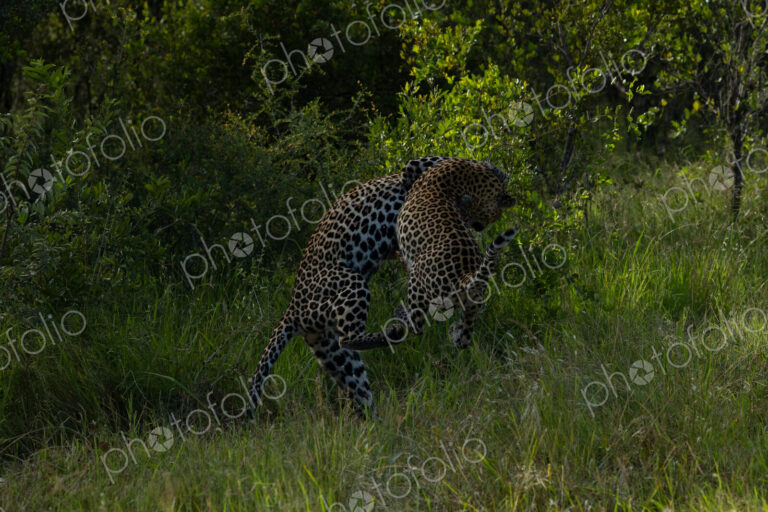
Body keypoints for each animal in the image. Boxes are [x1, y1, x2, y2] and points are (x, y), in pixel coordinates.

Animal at [247, 156, 450, 417]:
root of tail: (292, 309)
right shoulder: (417, 167)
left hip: (335, 355)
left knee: (359, 389)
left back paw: (377, 423)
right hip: (351, 282)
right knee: (350, 337)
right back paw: (395, 331)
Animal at [394, 158, 519, 349]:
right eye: (495, 216)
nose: (481, 227)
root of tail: (464, 275)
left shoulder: (421, 164)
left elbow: (408, 167)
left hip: (417, 283)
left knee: (418, 325)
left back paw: (402, 315)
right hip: (472, 305)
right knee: (465, 336)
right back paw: (454, 333)